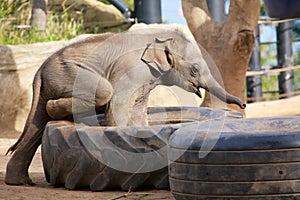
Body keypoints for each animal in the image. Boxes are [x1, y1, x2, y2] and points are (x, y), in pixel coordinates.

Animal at [4, 28, 245, 186]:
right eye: (195, 69)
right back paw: (56, 109)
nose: (243, 105)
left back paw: (21, 182)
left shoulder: (147, 77)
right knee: (104, 91)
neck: (157, 38)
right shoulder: (131, 70)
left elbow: (139, 106)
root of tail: (39, 70)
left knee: (36, 125)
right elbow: (118, 101)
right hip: (70, 73)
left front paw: (139, 126)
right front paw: (121, 131)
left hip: (54, 80)